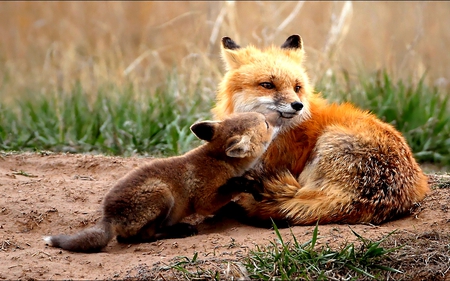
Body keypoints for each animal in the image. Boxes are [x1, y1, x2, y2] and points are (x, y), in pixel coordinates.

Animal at [44, 111, 280, 252]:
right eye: (266, 123)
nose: (280, 113)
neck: (219, 159)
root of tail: (109, 217)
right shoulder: (204, 200)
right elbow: (230, 189)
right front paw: (248, 187)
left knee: (124, 239)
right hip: (162, 195)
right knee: (143, 236)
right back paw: (180, 230)